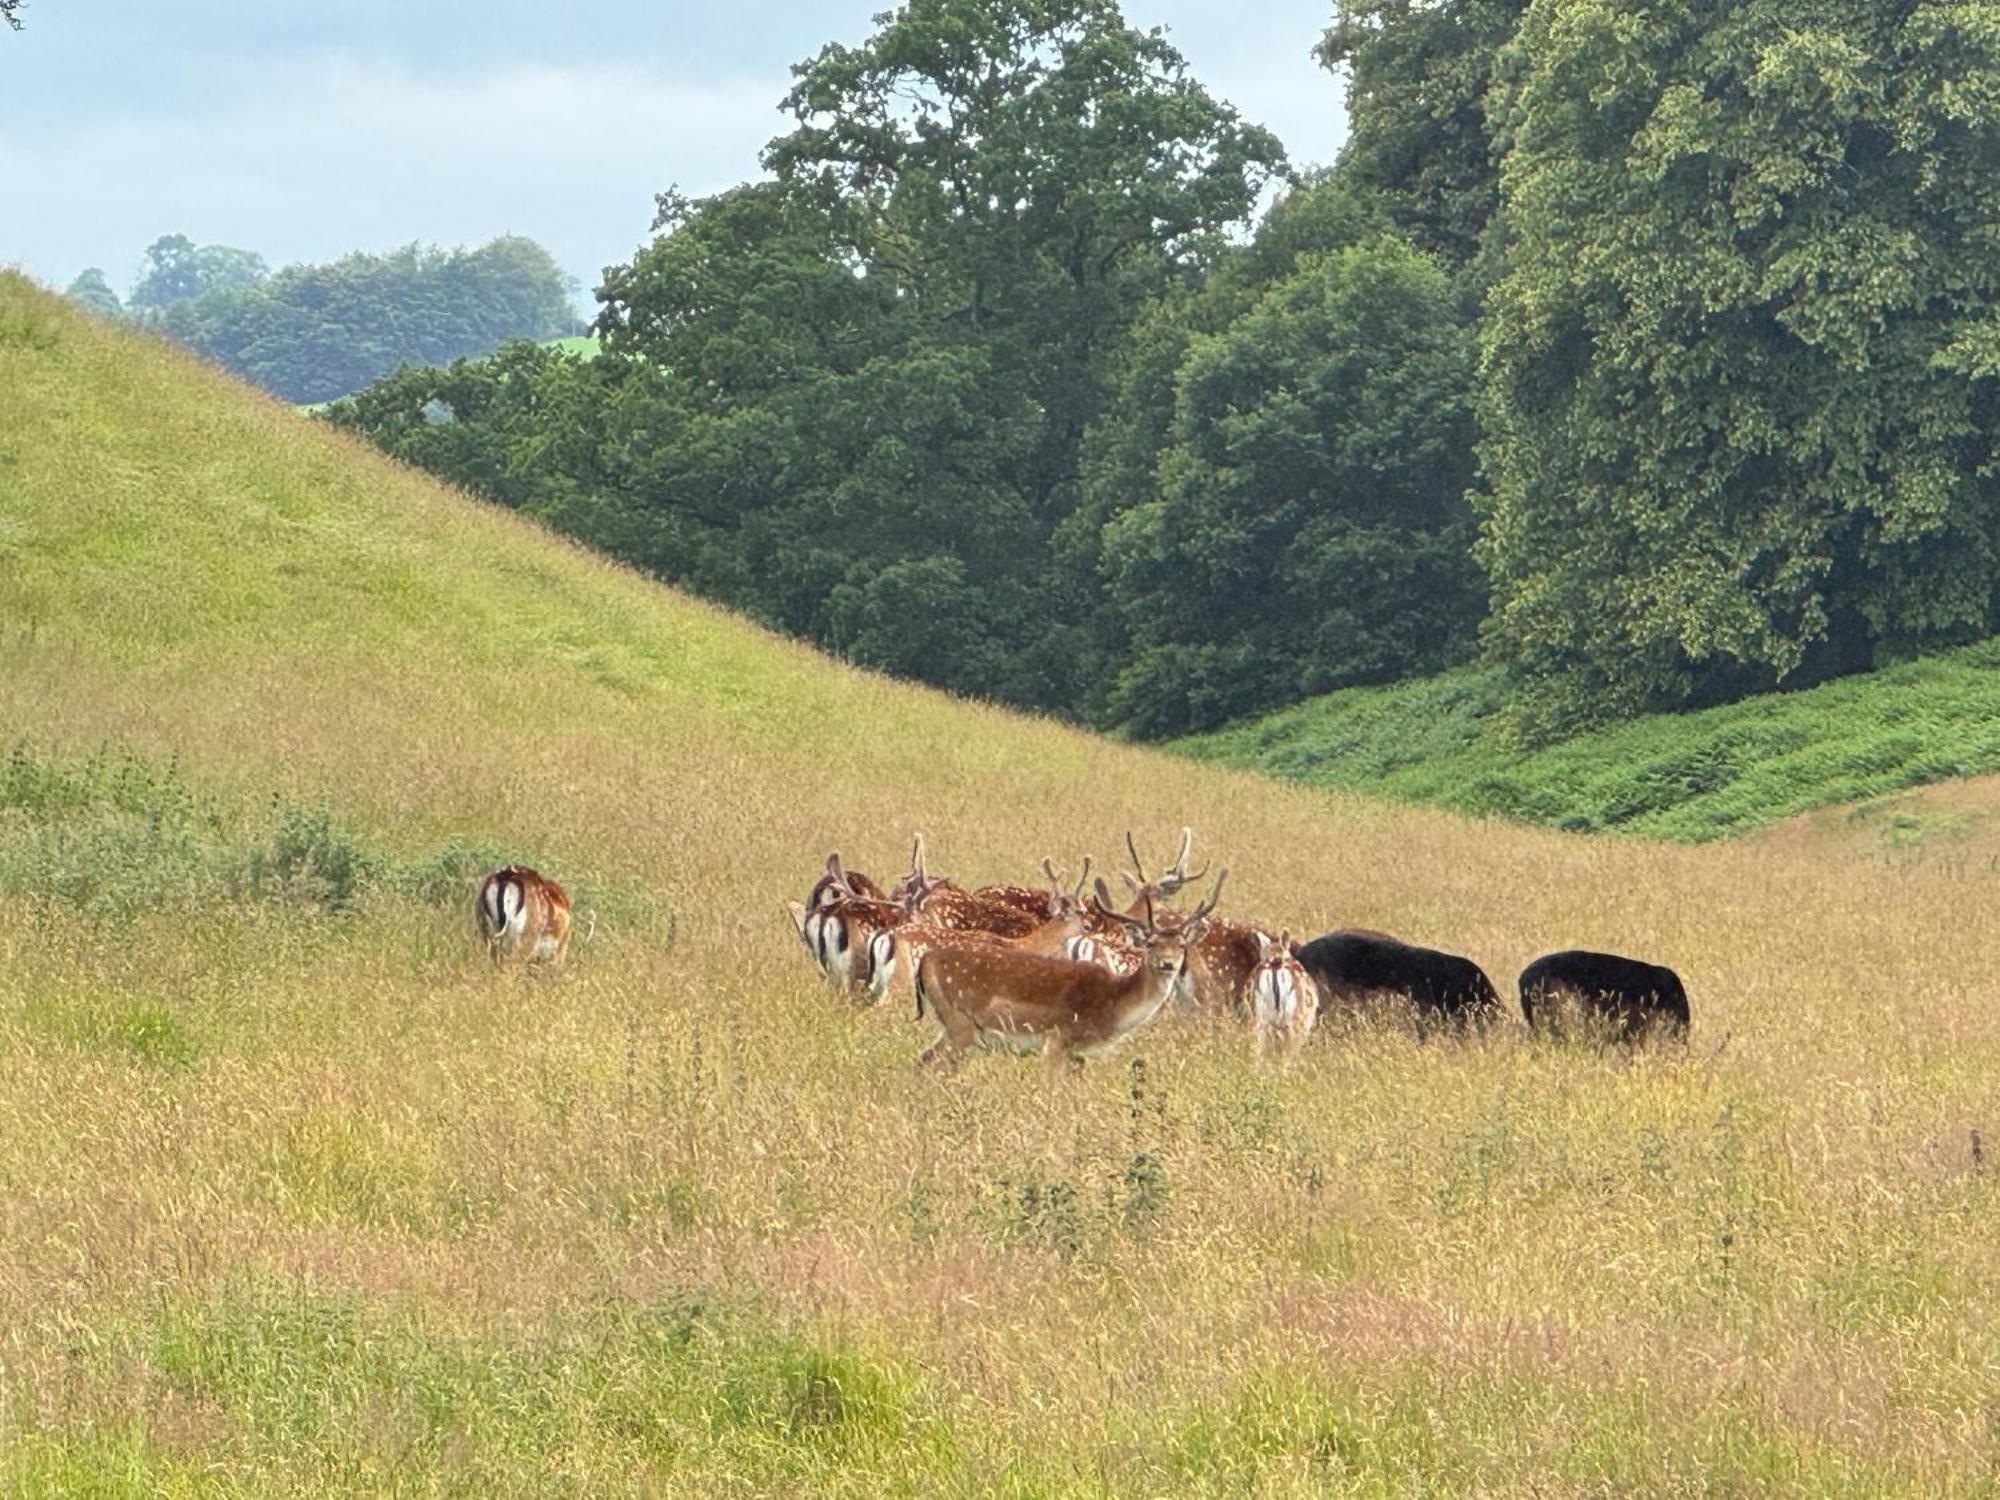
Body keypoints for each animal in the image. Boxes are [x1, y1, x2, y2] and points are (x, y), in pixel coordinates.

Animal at [916, 880, 1224, 1080]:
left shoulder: (1079, 1054)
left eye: (1182, 945)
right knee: (928, 1063)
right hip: (961, 1025)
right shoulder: (1058, 1038)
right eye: (1150, 943)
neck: (1112, 1005)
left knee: (925, 1059)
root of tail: (924, 962)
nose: (1168, 964)